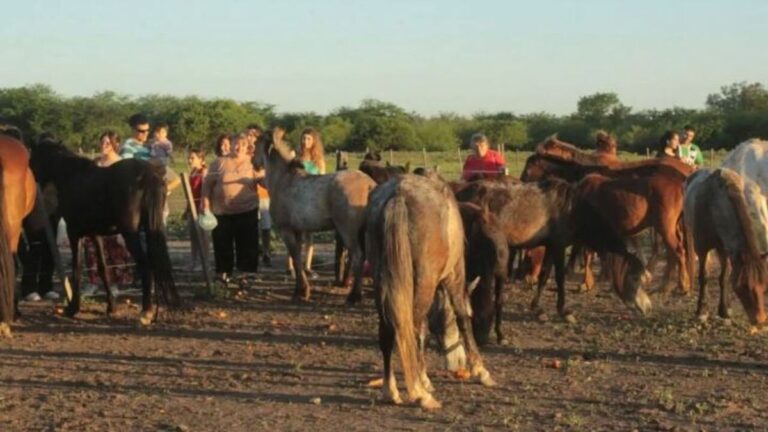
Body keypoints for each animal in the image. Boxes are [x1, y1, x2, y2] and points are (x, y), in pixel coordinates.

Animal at [28, 139, 178, 324]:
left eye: (32, 158)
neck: (72, 176)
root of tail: (149, 175)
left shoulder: (74, 233)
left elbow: (77, 267)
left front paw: (73, 308)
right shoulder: (95, 234)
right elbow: (102, 267)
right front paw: (111, 306)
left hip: (130, 235)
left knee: (145, 265)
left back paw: (146, 312)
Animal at [256, 131, 375, 303]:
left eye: (255, 145)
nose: (253, 163)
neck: (283, 180)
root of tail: (369, 184)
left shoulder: (286, 230)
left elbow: (296, 258)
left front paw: (301, 291)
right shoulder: (297, 231)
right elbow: (297, 258)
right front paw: (300, 289)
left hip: (348, 231)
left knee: (358, 257)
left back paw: (354, 296)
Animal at [367, 174, 494, 409]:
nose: (458, 363)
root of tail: (398, 196)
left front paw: (424, 377)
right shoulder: (454, 275)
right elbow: (462, 317)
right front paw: (480, 370)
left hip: (382, 283)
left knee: (388, 332)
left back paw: (390, 390)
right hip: (424, 284)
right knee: (412, 329)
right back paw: (419, 393)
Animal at [460, 178, 649, 345]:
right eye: (635, 278)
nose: (648, 306)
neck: (571, 209)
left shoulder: (550, 246)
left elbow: (544, 276)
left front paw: (537, 308)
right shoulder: (558, 246)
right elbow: (559, 278)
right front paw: (564, 311)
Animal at [684, 168, 768, 325]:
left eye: (764, 284)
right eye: (745, 286)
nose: (760, 319)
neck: (713, 206)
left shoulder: (724, 249)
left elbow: (724, 278)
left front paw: (724, 309)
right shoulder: (702, 249)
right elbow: (704, 277)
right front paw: (701, 311)